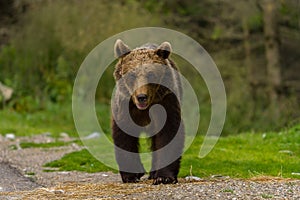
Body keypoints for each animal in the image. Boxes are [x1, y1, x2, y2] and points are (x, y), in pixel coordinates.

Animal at [110, 39, 184, 184]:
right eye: (132, 75)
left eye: (151, 74)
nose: (141, 96)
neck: (144, 109)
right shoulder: (125, 107)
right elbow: (124, 136)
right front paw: (131, 175)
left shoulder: (165, 103)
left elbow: (168, 133)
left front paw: (164, 177)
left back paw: (154, 173)